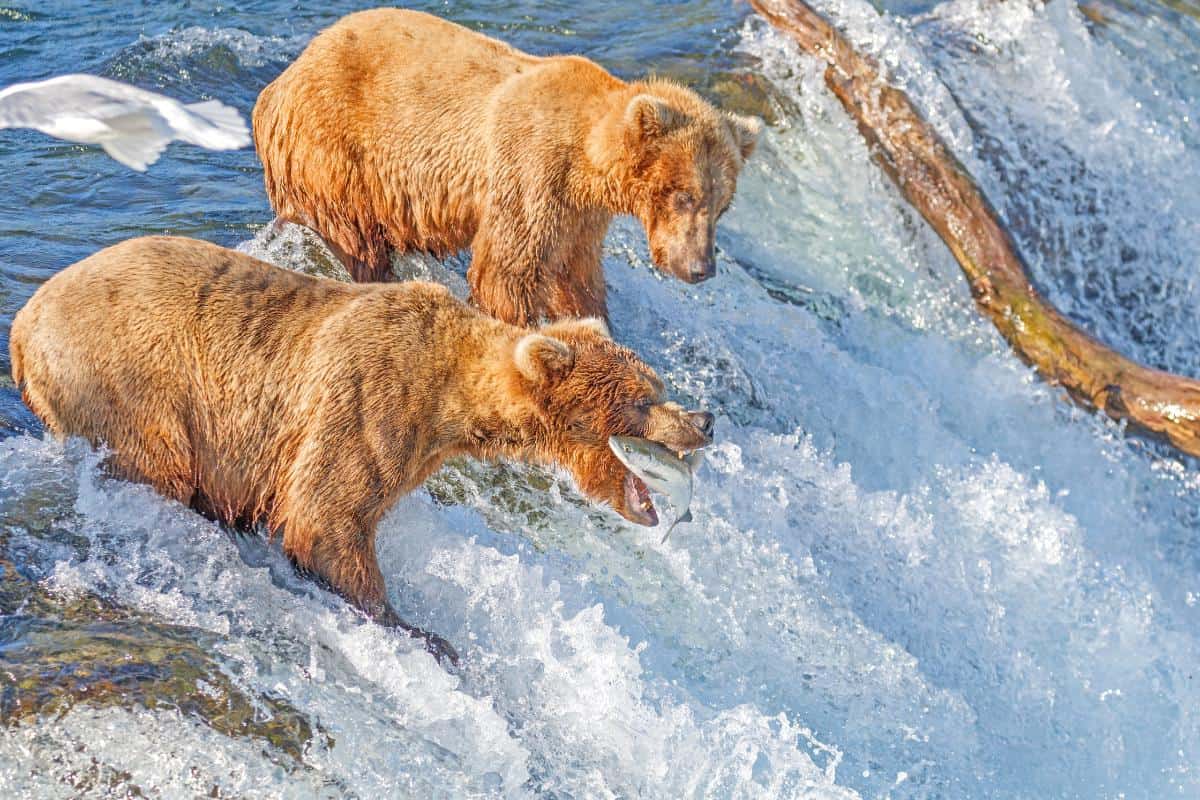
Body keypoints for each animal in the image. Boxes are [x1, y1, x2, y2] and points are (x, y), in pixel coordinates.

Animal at [10, 236, 713, 661]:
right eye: (643, 399)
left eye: (656, 385)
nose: (705, 419)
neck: (450, 401)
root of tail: (20, 325)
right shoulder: (368, 401)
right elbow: (328, 518)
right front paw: (420, 629)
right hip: (128, 378)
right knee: (156, 463)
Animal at [252, 8, 762, 327]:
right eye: (684, 195)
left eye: (721, 206)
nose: (700, 267)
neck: (588, 161)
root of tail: (285, 76)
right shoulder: (531, 174)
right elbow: (508, 270)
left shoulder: (580, 218)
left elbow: (575, 277)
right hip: (334, 148)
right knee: (350, 237)